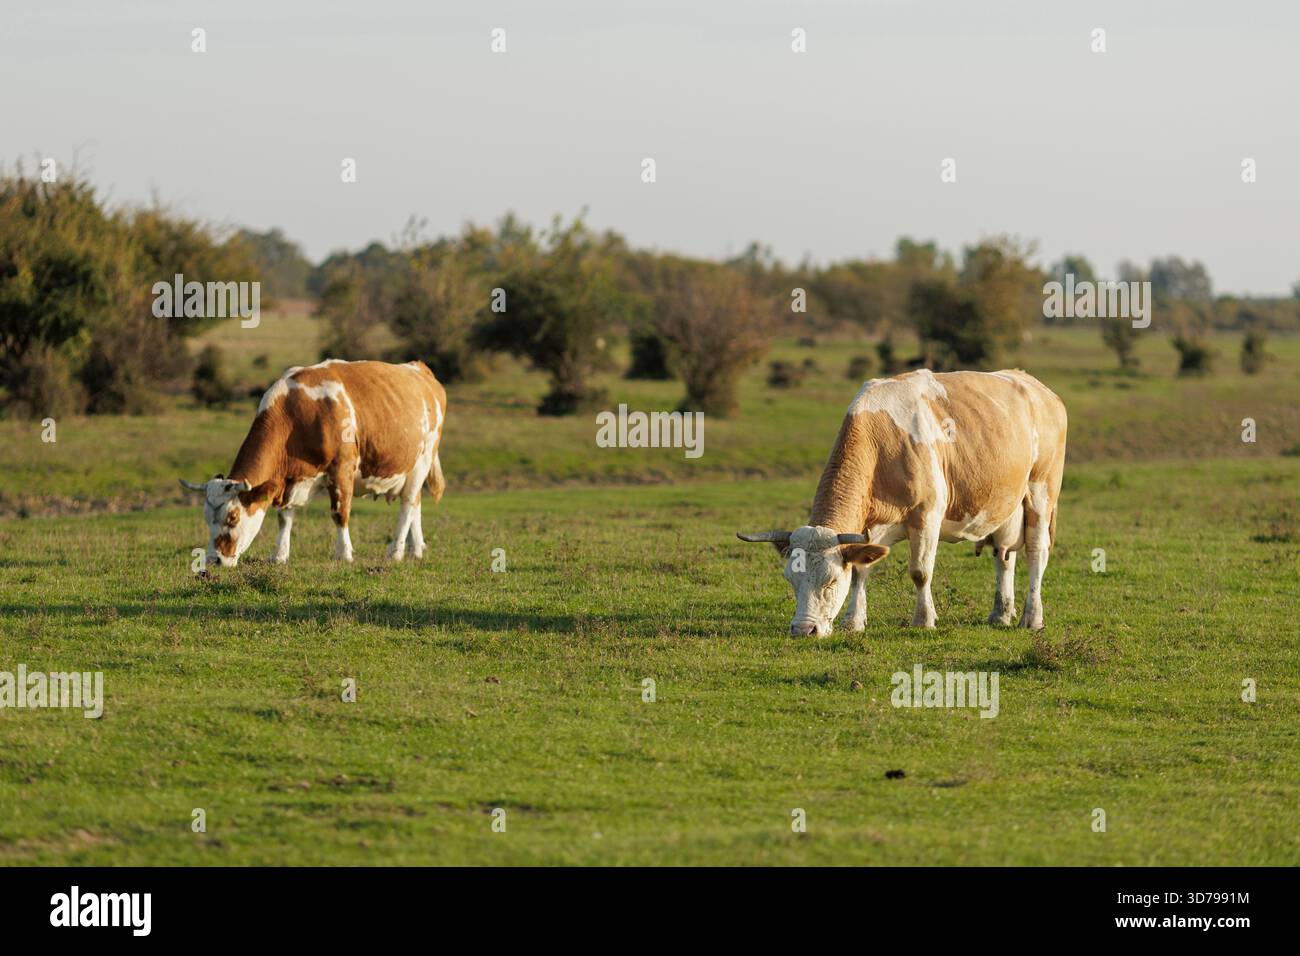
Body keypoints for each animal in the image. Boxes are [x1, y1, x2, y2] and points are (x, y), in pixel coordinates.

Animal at [180, 359, 446, 568]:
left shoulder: (342, 467)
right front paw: (279, 555)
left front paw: (344, 554)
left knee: (408, 503)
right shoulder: (290, 479)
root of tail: (419, 369)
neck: (296, 414)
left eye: (232, 518)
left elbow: (339, 513)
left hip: (423, 459)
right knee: (415, 503)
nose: (214, 559)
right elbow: (284, 516)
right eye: (206, 518)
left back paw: (396, 551)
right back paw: (416, 549)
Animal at [738, 368, 1066, 635]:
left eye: (830, 581)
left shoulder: (927, 516)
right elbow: (860, 572)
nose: (803, 630)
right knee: (1003, 556)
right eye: (791, 580)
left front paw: (924, 620)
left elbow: (920, 572)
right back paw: (1001, 613)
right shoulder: (868, 529)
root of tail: (1037, 388)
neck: (882, 442)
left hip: (1041, 493)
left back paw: (1032, 617)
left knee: (1036, 554)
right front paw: (853, 621)